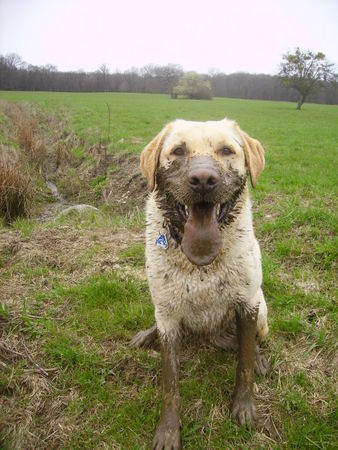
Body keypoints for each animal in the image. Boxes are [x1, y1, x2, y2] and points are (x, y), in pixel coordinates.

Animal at [132, 118, 270, 448]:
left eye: (227, 151)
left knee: (251, 341)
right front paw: (168, 430)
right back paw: (147, 335)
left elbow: (244, 363)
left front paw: (243, 406)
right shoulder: (168, 316)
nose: (204, 180)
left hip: (261, 309)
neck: (201, 264)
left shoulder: (247, 303)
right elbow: (169, 383)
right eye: (178, 151)